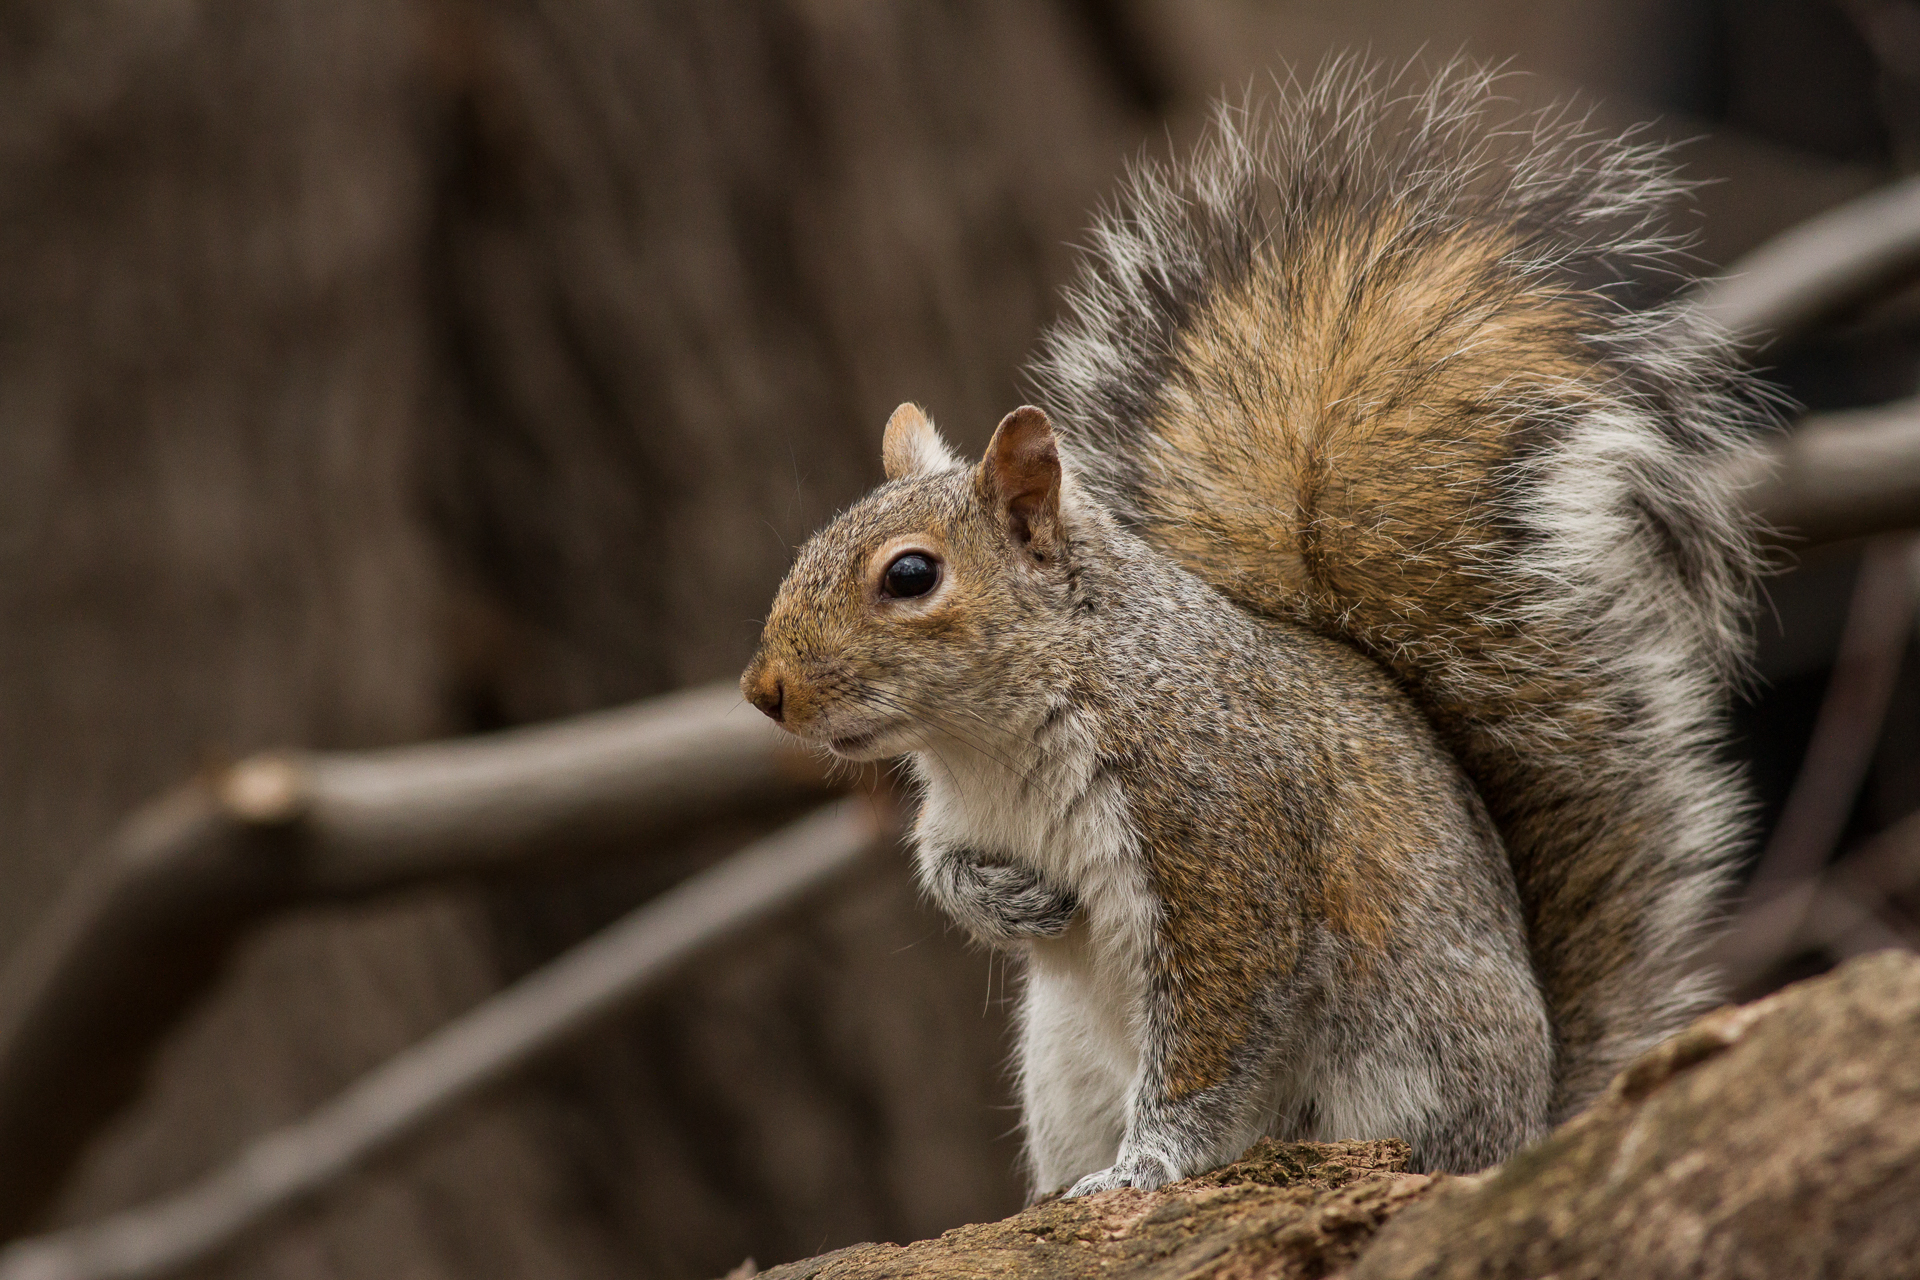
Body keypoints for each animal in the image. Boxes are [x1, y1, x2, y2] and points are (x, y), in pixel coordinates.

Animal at [741, 65, 1758, 1197]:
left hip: (1408, 1061)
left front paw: (1146, 1169)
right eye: (814, 541)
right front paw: (1013, 902)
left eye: (911, 575)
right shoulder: (961, 812)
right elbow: (945, 868)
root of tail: (1531, 1120)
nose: (763, 689)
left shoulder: (1221, 843)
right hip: (1063, 1068)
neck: (996, 738)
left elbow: (1212, 1034)